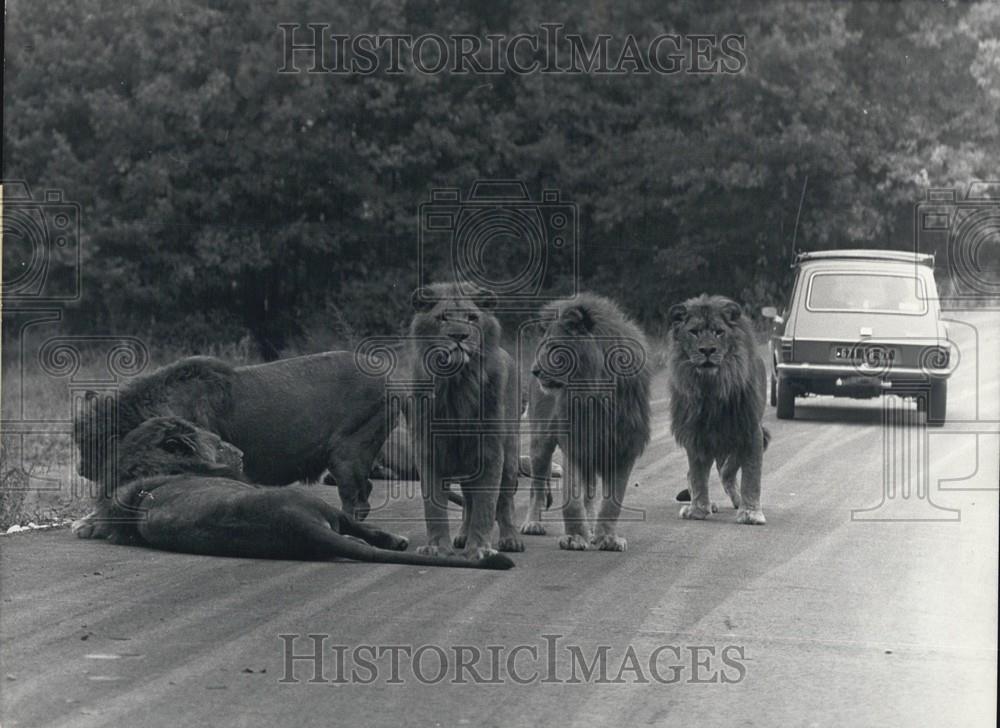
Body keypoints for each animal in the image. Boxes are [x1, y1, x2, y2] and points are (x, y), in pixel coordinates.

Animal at [77, 416, 512, 568]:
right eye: (217, 441)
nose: (240, 452)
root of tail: (297, 525)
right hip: (321, 507)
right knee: (360, 529)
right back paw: (396, 540)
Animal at [402, 282, 524, 560]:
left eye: (472, 318)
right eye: (442, 317)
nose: (459, 335)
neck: (457, 386)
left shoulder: (491, 451)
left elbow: (486, 506)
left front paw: (479, 548)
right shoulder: (428, 451)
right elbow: (434, 507)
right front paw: (437, 547)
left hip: (510, 456)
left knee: (505, 500)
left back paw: (510, 539)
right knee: (469, 499)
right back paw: (461, 536)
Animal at [520, 294, 652, 552]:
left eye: (555, 347)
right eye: (544, 345)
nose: (534, 371)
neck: (595, 393)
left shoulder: (624, 448)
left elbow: (613, 502)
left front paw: (607, 538)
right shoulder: (575, 443)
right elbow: (572, 500)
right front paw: (574, 537)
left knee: (590, 492)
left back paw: (591, 528)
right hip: (540, 441)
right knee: (536, 486)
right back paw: (532, 523)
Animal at [668, 292, 768, 528]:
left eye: (719, 332)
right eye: (694, 332)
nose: (707, 350)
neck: (712, 387)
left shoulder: (750, 430)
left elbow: (751, 474)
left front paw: (750, 513)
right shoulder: (695, 433)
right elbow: (697, 475)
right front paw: (698, 510)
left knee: (729, 470)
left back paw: (738, 501)